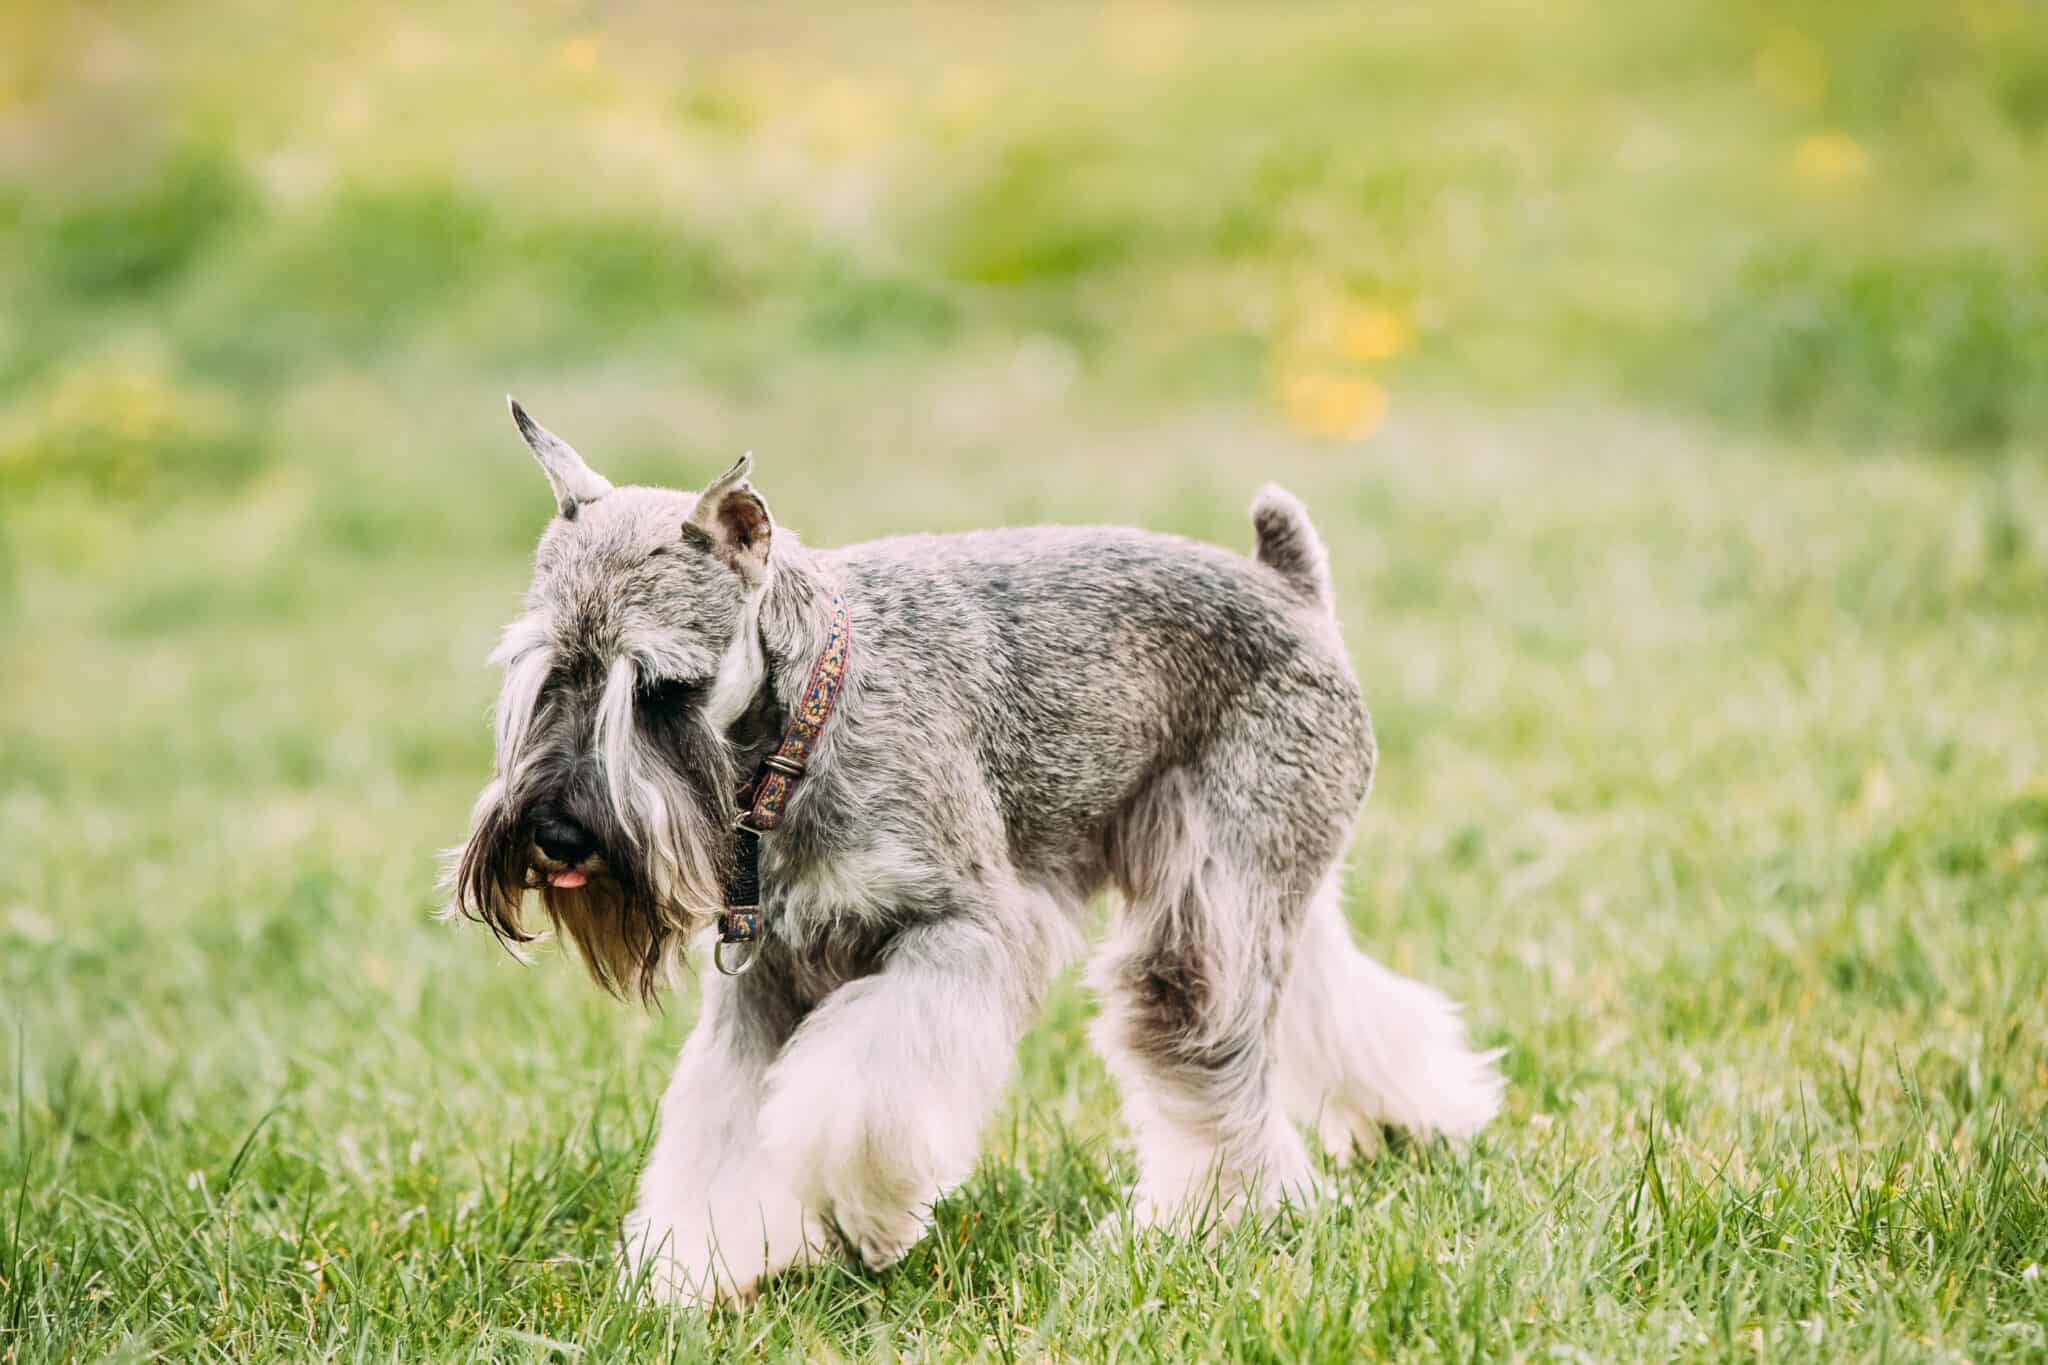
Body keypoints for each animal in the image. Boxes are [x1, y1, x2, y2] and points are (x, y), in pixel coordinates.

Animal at [452, 401, 1507, 1309]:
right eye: (545, 674)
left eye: (663, 689)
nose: (557, 834)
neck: (803, 723)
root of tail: (1292, 589)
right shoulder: (765, 981)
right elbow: (719, 1130)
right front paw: (690, 1273)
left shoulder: (963, 927)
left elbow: (860, 1096)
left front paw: (867, 1216)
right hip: (1264, 880)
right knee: (1329, 997)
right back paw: (1421, 1115)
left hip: (1210, 907)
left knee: (1204, 1048)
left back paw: (1211, 1222)